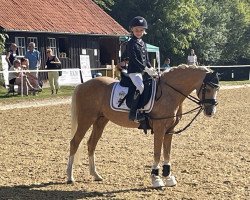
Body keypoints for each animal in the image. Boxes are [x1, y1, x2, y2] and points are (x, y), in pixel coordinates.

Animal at [66, 64, 219, 188]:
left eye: (217, 89)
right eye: (208, 88)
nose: (210, 111)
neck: (169, 92)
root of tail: (83, 85)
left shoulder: (169, 130)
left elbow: (167, 152)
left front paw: (169, 178)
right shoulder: (159, 129)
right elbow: (157, 153)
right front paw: (156, 179)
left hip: (100, 121)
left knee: (91, 144)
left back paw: (96, 175)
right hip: (86, 119)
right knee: (74, 142)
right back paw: (70, 177)